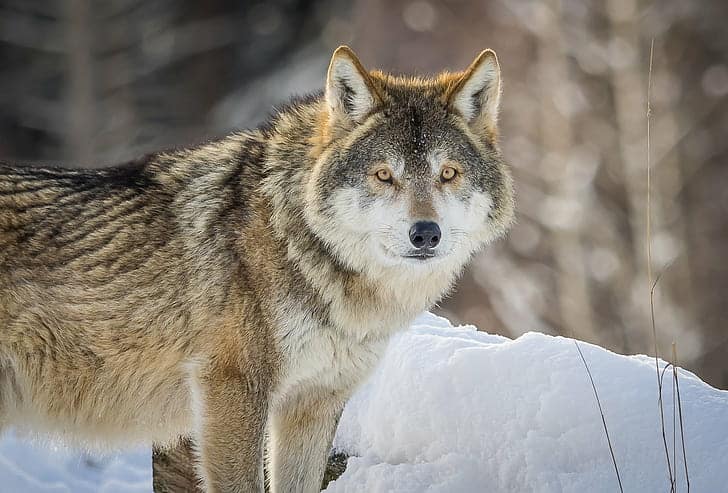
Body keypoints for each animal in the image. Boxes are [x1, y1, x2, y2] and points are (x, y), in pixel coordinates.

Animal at [0, 46, 514, 492]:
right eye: (384, 175)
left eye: (448, 174)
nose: (425, 234)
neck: (297, 243)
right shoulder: (233, 389)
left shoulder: (314, 403)